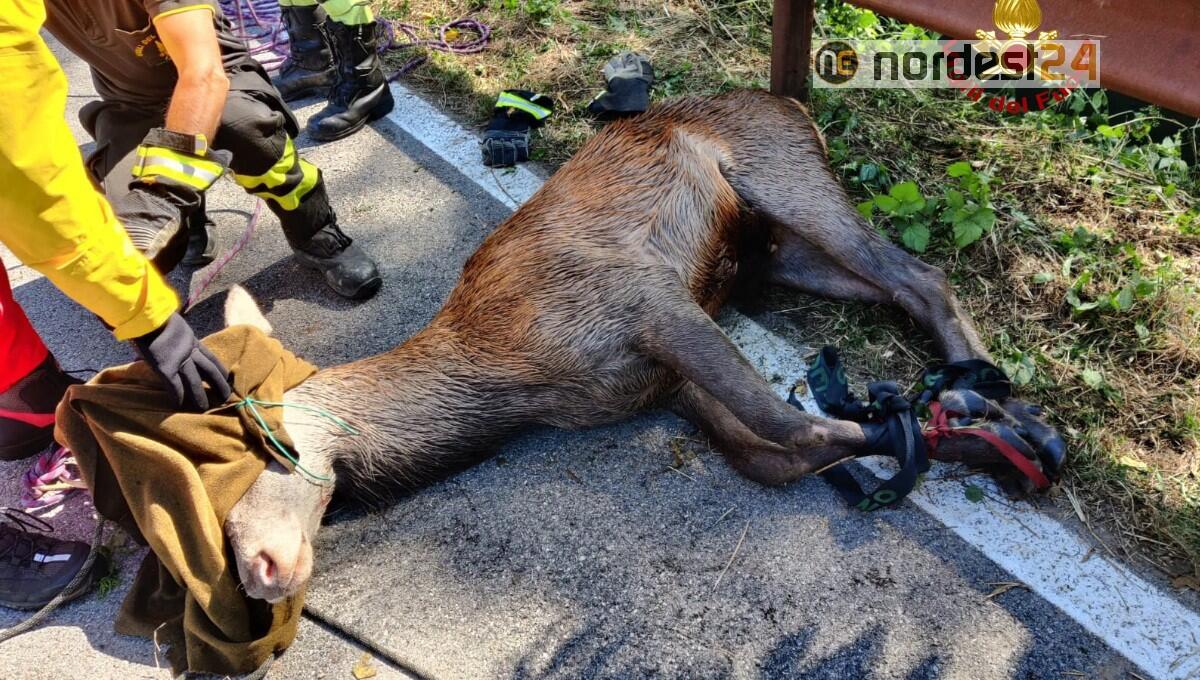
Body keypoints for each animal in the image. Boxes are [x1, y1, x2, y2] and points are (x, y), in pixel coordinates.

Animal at [222, 90, 1065, 603]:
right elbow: (773, 454)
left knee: (921, 272)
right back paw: (984, 398)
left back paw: (992, 394)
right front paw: (961, 443)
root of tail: (794, 103)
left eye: (247, 447)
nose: (257, 572)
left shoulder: (645, 298)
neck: (512, 382)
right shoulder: (664, 385)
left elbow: (796, 428)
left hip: (789, 182)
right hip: (778, 255)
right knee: (898, 284)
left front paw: (964, 439)